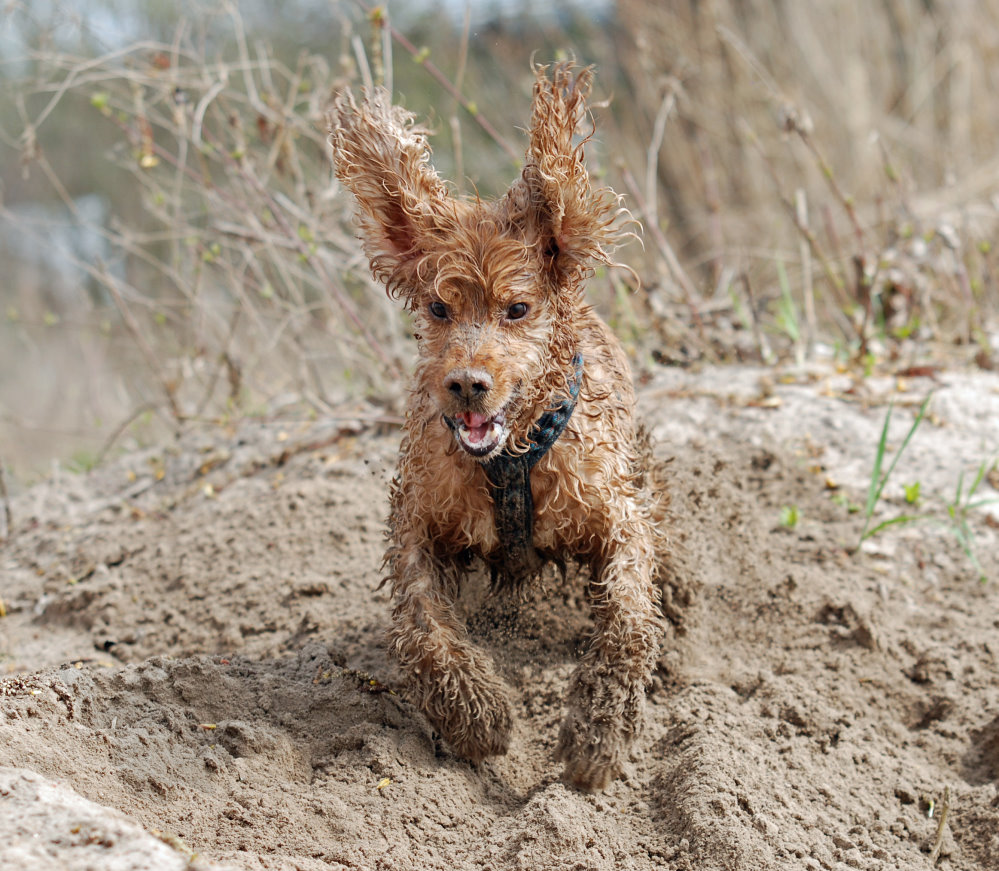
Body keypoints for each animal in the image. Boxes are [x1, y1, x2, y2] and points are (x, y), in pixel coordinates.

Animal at [332, 64, 668, 792]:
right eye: (438, 308)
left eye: (516, 309)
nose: (465, 383)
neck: (510, 457)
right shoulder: (419, 525)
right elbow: (424, 628)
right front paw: (476, 717)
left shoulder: (615, 517)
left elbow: (629, 620)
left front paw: (597, 736)